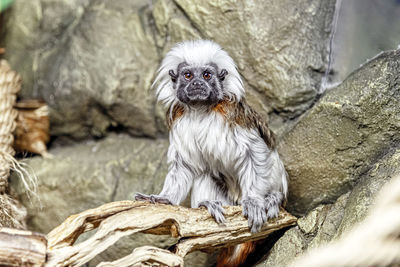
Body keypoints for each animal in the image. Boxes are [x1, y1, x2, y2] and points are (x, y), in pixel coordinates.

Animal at [134, 39, 288, 267]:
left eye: (206, 75)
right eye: (188, 75)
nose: (197, 84)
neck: (201, 110)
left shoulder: (233, 115)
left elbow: (254, 152)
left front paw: (254, 201)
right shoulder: (180, 120)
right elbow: (184, 164)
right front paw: (164, 198)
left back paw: (272, 199)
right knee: (206, 174)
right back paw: (207, 204)